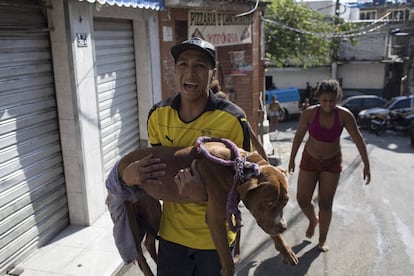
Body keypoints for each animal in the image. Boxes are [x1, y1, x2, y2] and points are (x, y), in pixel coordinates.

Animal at [118, 141, 296, 274]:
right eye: (269, 203)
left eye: (285, 202)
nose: (284, 227)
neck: (238, 166)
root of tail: (122, 161)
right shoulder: (215, 219)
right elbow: (228, 261)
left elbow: (269, 227)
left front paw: (285, 249)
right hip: (130, 213)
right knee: (139, 254)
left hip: (153, 210)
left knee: (148, 242)